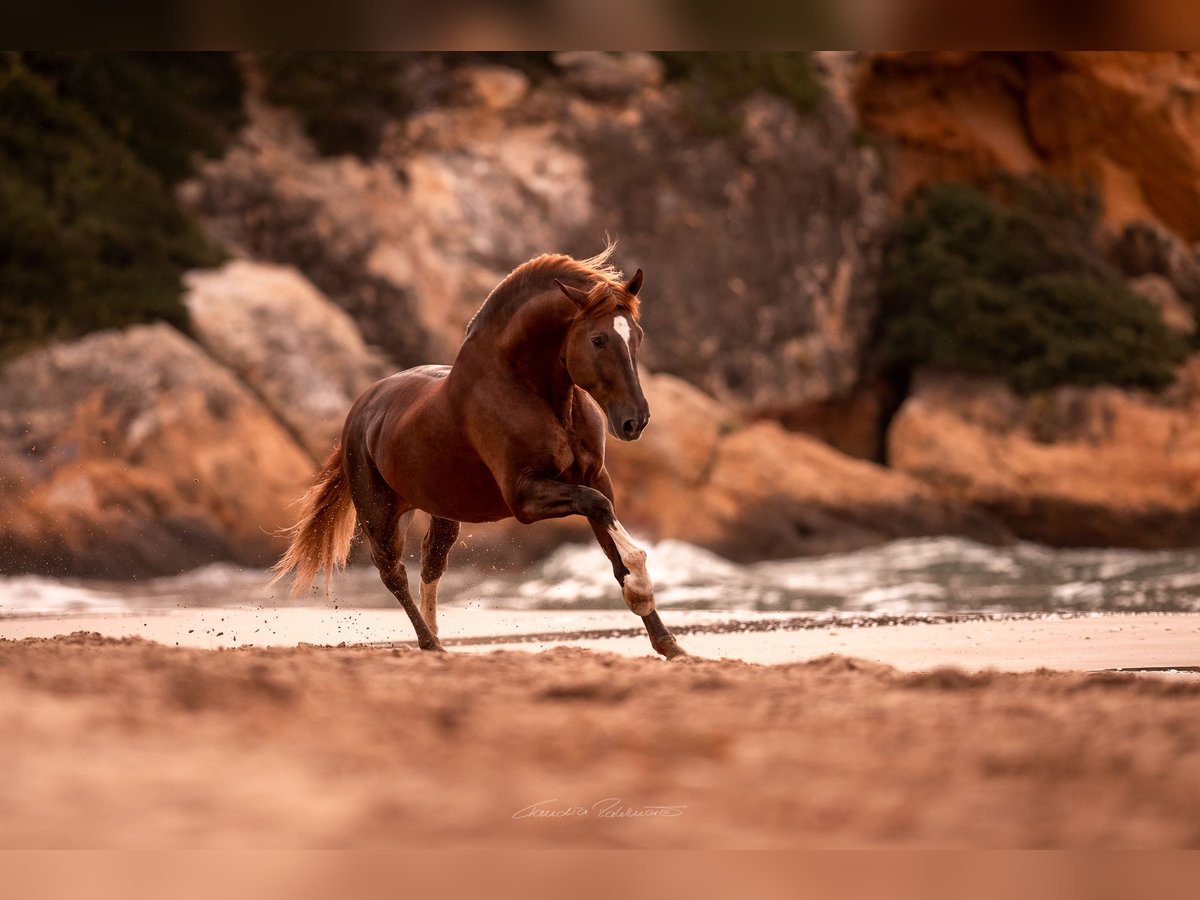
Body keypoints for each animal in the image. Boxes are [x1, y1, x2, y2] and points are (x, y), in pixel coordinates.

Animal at [270, 250, 686, 657]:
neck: (530, 389)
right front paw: (642, 589)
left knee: (431, 564)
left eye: (637, 336)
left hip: (441, 510)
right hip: (380, 515)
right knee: (393, 573)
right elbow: (599, 510)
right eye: (598, 340)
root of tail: (361, 409)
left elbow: (613, 549)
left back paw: (437, 640)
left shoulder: (594, 476)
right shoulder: (524, 496)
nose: (635, 421)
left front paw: (668, 644)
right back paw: (430, 642)